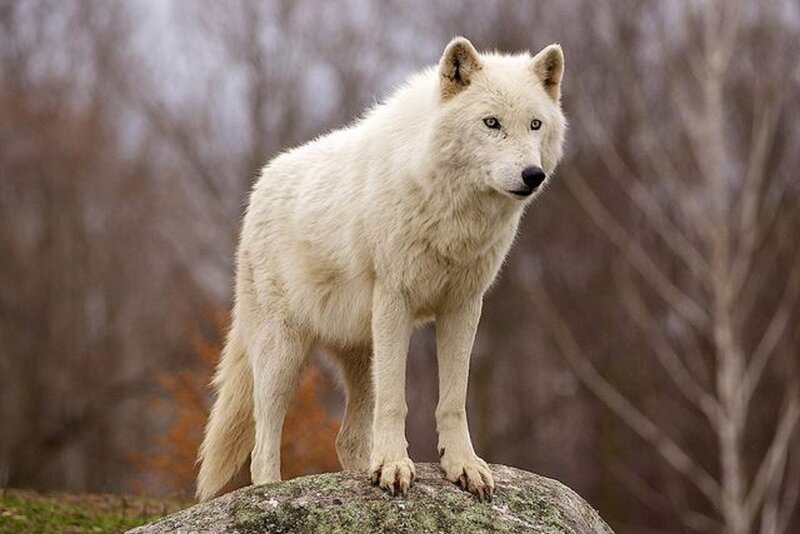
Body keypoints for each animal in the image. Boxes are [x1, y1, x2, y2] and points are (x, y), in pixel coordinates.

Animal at [196, 36, 566, 502]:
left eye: (535, 124)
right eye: (491, 123)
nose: (532, 175)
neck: (452, 210)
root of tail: (260, 184)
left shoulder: (464, 306)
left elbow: (453, 400)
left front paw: (462, 466)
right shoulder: (395, 300)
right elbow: (395, 401)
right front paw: (393, 465)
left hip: (360, 351)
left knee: (347, 439)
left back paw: (362, 471)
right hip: (283, 352)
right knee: (263, 443)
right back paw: (271, 492)